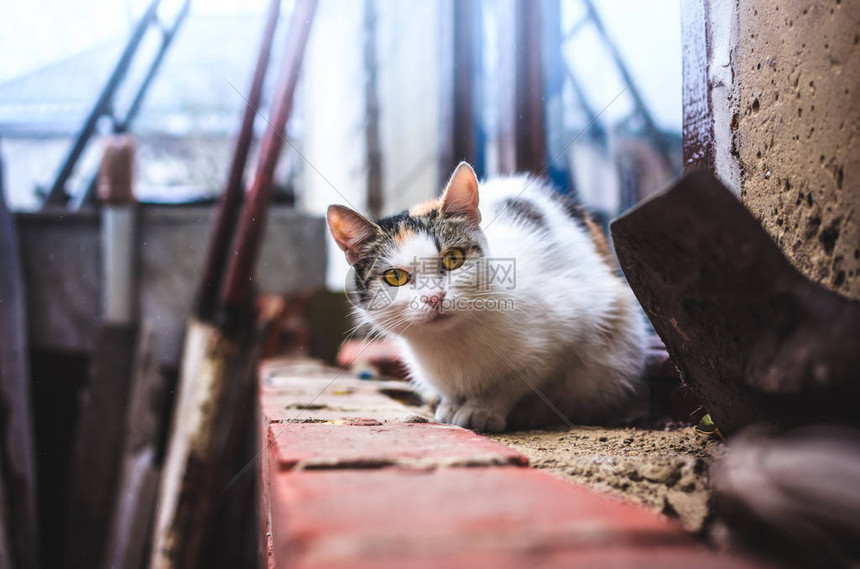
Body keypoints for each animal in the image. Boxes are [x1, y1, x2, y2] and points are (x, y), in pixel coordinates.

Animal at [330, 162, 644, 432]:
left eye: (454, 259)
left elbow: (517, 381)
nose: (434, 297)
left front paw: (482, 409)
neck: (451, 341)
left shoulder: (564, 336)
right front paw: (451, 404)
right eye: (395, 277)